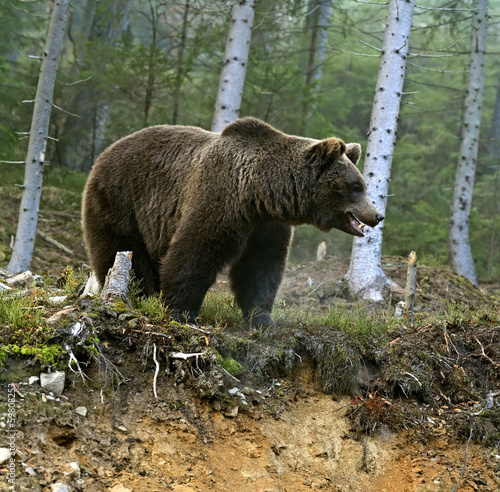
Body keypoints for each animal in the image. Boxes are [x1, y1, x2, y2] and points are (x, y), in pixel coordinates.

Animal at [82, 117, 382, 326]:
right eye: (356, 186)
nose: (377, 215)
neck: (261, 193)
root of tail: (106, 152)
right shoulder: (221, 198)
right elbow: (194, 253)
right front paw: (181, 312)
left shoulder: (266, 226)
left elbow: (260, 268)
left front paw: (262, 319)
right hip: (121, 199)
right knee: (123, 250)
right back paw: (139, 295)